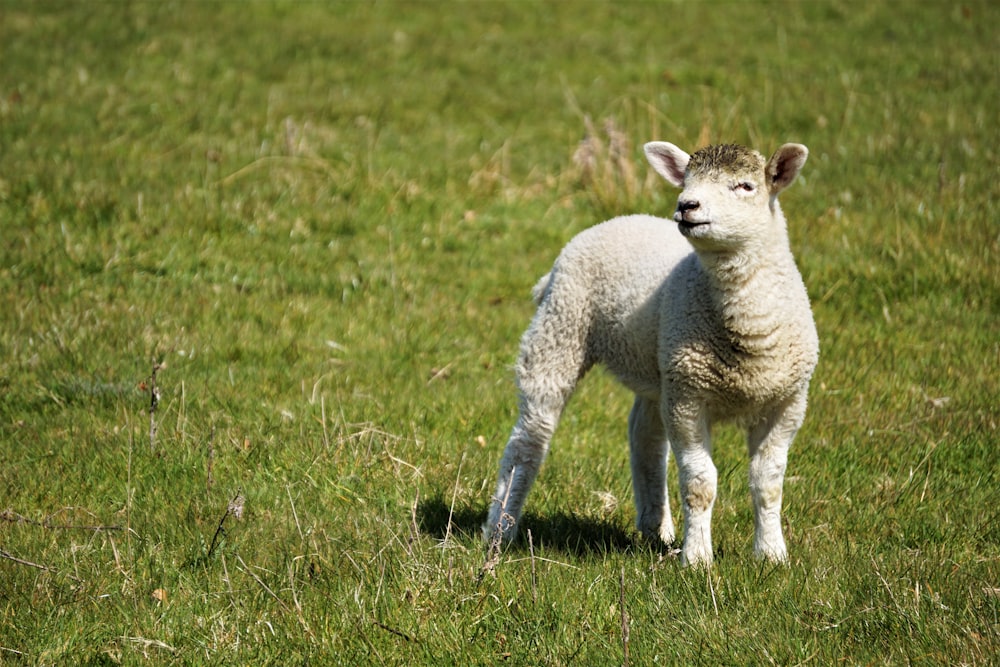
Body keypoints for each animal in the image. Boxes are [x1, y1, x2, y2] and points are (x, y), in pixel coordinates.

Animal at [484, 141, 820, 568]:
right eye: (687, 179)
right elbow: (699, 483)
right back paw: (500, 530)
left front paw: (772, 555)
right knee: (528, 439)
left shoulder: (788, 403)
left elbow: (768, 482)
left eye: (744, 186)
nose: (686, 205)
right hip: (560, 327)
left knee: (644, 436)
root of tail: (621, 219)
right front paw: (697, 559)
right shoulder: (688, 398)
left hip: (656, 369)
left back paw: (654, 527)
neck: (749, 334)